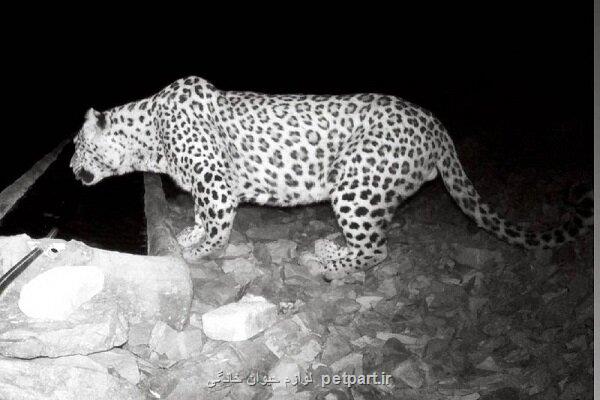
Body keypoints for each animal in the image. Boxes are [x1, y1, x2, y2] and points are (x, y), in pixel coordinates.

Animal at [69, 76, 592, 282]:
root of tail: (437, 126)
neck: (149, 138)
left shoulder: (216, 182)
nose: (72, 170)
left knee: (377, 249)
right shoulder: (206, 187)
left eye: (76, 146)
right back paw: (330, 247)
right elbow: (201, 217)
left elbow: (216, 225)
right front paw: (188, 236)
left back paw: (325, 258)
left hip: (357, 184)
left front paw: (196, 250)